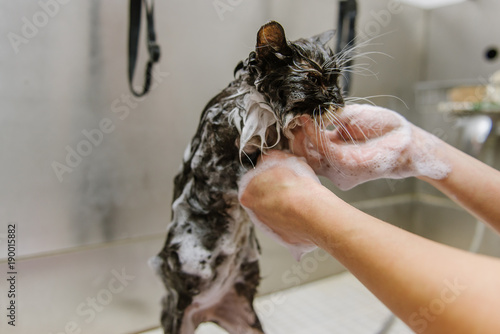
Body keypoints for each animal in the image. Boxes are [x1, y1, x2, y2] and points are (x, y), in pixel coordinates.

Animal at [152, 21, 346, 334]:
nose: (340, 102)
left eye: (337, 79)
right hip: (178, 315)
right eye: (314, 79)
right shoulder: (213, 168)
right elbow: (242, 167)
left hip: (247, 321)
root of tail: (207, 310)